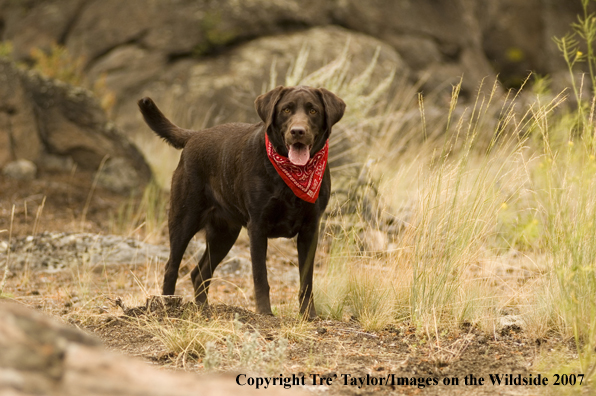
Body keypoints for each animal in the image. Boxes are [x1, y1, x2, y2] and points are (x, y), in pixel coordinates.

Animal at [138, 86, 344, 318]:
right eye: (286, 109)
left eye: (313, 110)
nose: (297, 131)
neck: (290, 173)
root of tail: (195, 135)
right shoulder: (258, 227)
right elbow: (261, 277)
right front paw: (265, 313)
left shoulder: (310, 228)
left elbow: (306, 279)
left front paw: (309, 315)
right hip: (183, 220)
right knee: (171, 268)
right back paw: (167, 306)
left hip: (224, 233)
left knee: (199, 273)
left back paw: (203, 310)